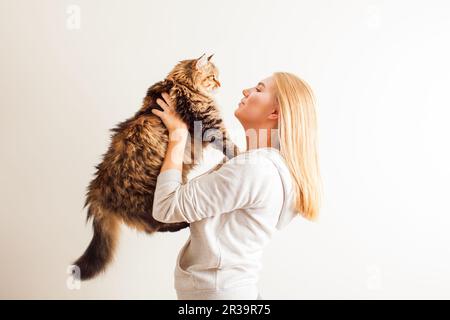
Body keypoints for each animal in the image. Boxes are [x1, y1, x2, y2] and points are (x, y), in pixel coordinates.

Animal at [74, 54, 241, 280]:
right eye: (213, 77)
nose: (220, 84)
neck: (182, 83)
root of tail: (97, 187)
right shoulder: (209, 125)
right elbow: (231, 146)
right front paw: (246, 153)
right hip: (151, 198)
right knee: (154, 225)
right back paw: (182, 224)